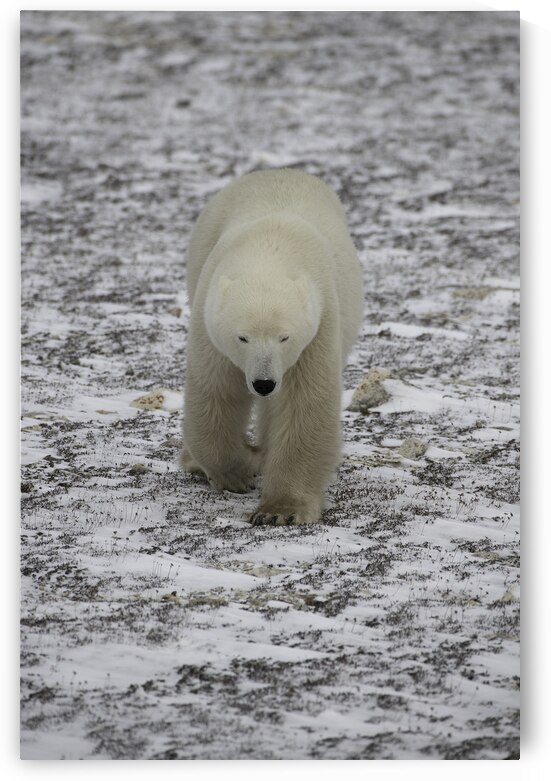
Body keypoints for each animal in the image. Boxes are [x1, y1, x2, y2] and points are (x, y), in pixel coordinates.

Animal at [181, 168, 364, 525]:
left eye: (284, 337)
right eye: (242, 337)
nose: (263, 383)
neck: (268, 249)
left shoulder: (318, 323)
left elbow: (303, 404)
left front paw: (279, 510)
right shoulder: (209, 317)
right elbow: (216, 392)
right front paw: (237, 473)